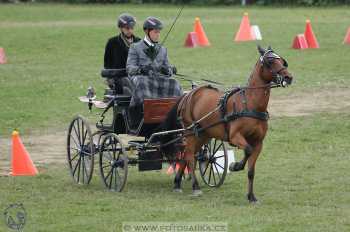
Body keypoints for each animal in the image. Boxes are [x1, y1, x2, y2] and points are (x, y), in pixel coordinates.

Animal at [160, 44, 294, 201]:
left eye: (282, 61)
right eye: (270, 61)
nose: (288, 77)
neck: (250, 104)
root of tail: (188, 95)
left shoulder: (258, 143)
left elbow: (251, 171)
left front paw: (251, 196)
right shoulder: (235, 136)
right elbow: (247, 150)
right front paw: (235, 166)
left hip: (203, 134)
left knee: (188, 155)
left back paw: (177, 183)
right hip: (190, 132)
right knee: (189, 156)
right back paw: (195, 187)